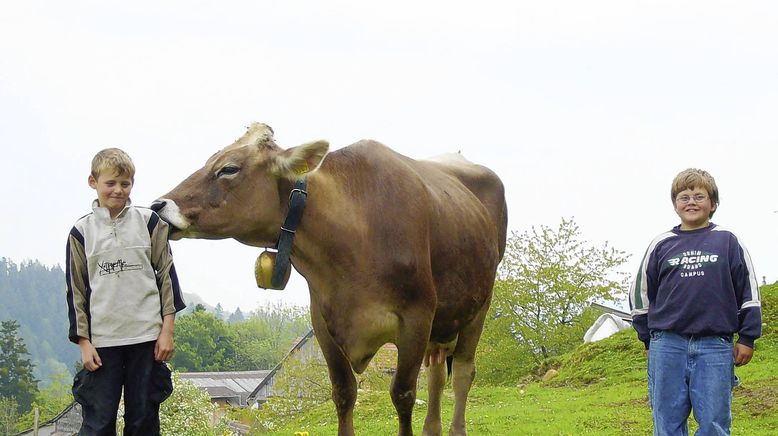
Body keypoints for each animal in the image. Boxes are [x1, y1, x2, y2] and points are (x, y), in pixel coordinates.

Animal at [152, 122, 506, 436]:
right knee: (437, 374)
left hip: (478, 306)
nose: (158, 205)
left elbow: (403, 394)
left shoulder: (416, 317)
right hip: (444, 320)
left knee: (462, 373)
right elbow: (344, 393)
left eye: (228, 169)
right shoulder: (322, 321)